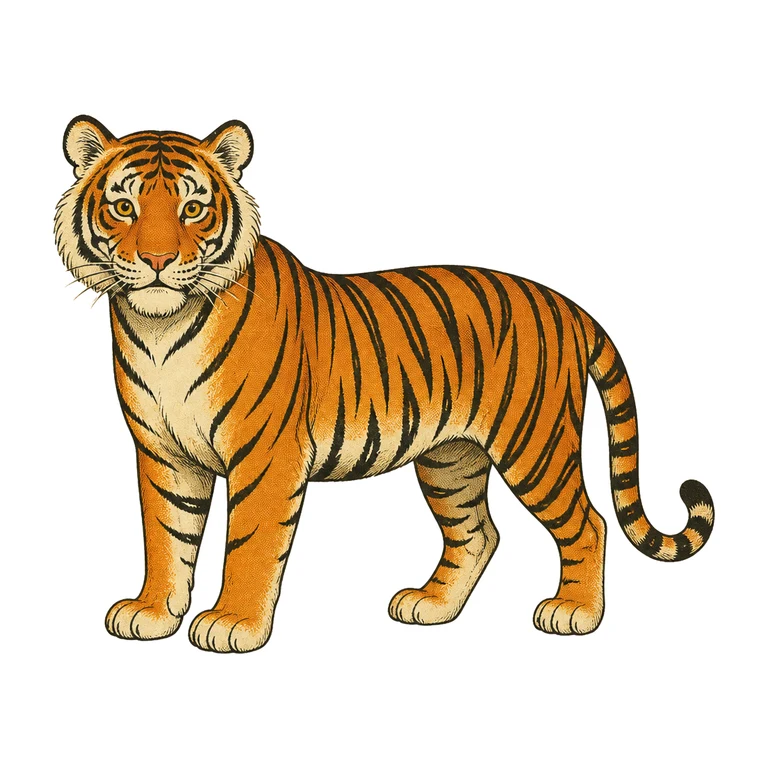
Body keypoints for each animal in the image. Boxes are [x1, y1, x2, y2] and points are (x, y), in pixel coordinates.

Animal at [55, 115, 715, 653]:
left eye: (193, 209)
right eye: (124, 207)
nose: (158, 262)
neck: (160, 328)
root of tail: (567, 305)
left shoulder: (264, 458)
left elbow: (248, 545)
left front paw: (232, 623)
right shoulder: (163, 454)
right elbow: (165, 536)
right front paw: (151, 613)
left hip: (536, 446)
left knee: (589, 523)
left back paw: (574, 613)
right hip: (451, 458)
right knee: (478, 533)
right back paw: (431, 605)